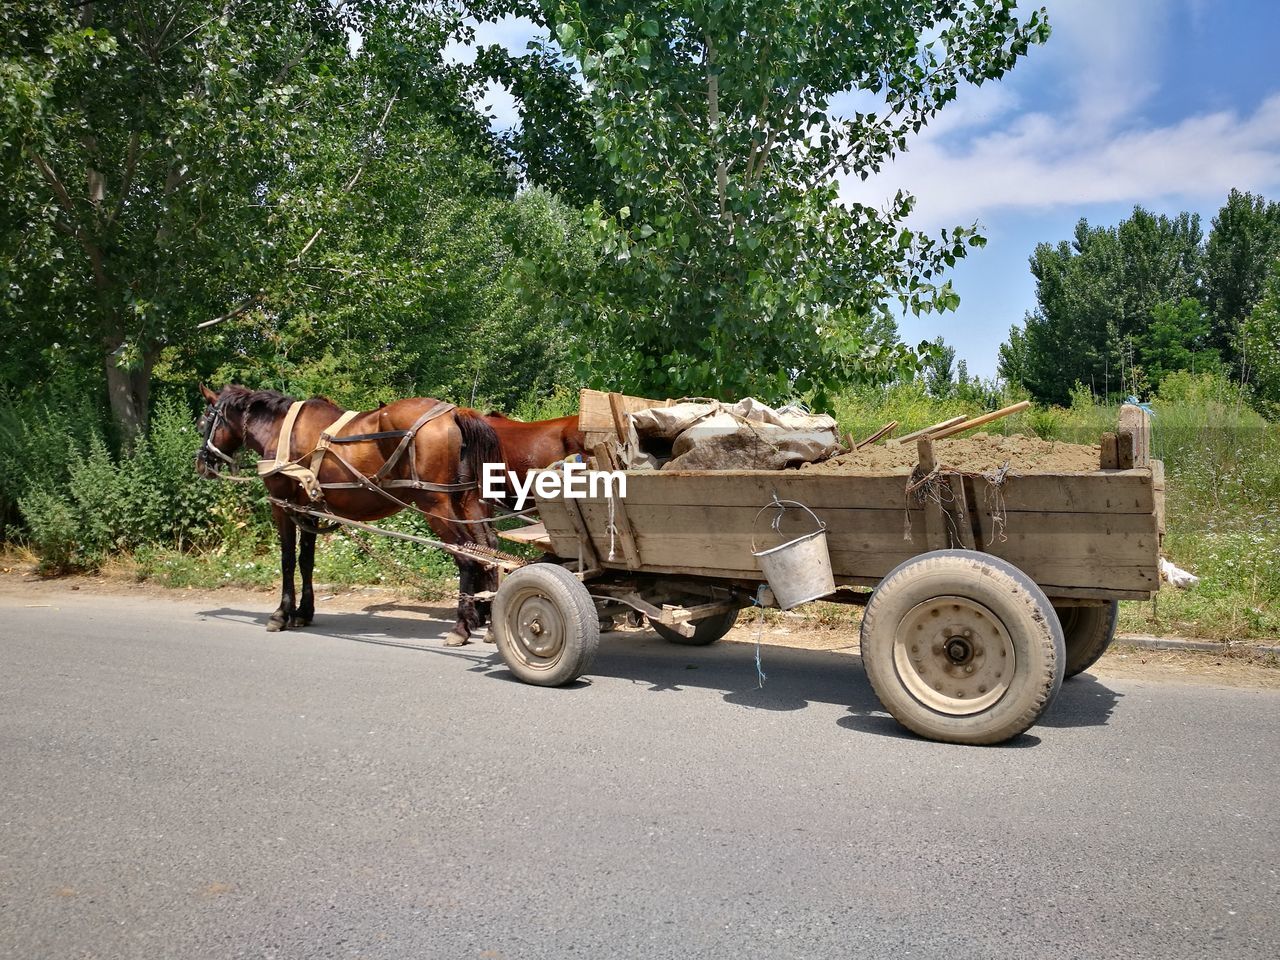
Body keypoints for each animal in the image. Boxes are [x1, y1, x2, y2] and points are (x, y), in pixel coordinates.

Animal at [197, 386, 501, 647]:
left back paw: (461, 626)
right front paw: (303, 612)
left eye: (204, 422)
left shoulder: (283, 505)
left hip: (434, 503)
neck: (281, 431)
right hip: (467, 501)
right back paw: (487, 621)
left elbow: (287, 560)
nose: (201, 463)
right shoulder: (309, 509)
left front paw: (281, 614)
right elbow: (306, 560)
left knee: (465, 556)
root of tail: (453, 414)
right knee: (487, 550)